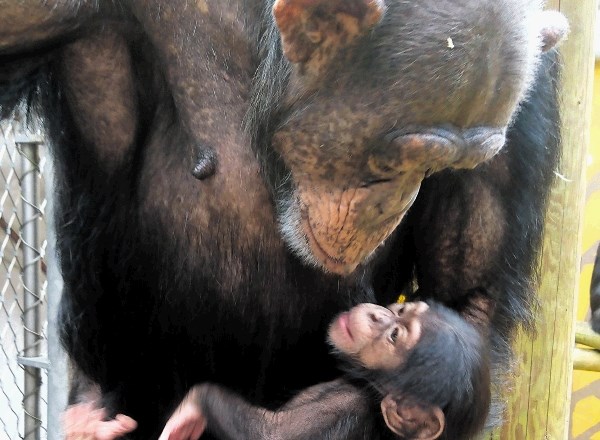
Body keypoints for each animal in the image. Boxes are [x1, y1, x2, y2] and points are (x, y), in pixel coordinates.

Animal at [161, 300, 492, 440]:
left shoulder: (347, 405)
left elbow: (271, 434)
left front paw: (191, 408)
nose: (378, 315)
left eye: (395, 336)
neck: (366, 385)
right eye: (400, 311)